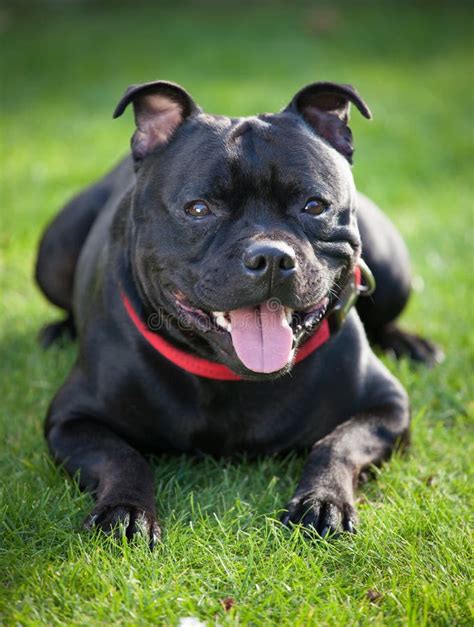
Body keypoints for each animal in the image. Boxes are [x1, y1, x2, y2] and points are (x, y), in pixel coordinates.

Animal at [35, 81, 438, 548]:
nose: (271, 257)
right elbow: (122, 456)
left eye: (314, 206)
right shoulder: (71, 419)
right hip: (54, 254)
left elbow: (338, 443)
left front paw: (324, 501)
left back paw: (411, 344)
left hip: (392, 269)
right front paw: (125, 510)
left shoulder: (387, 407)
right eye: (198, 209)